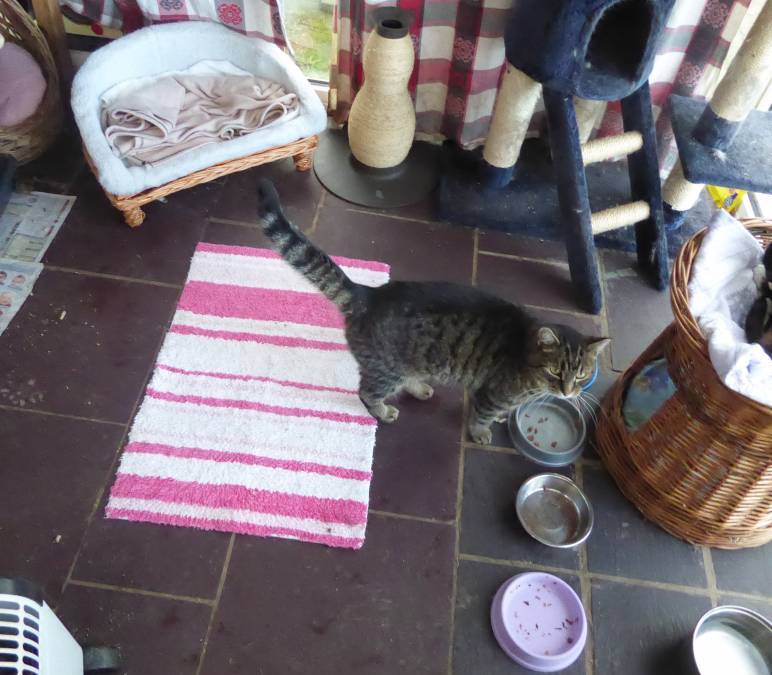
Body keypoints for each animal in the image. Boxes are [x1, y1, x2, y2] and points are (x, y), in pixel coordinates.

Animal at [258, 180, 608, 446]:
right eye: (555, 371)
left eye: (581, 375)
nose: (567, 392)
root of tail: (368, 293)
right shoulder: (490, 394)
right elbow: (481, 416)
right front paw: (482, 432)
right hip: (386, 370)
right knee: (366, 392)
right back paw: (384, 411)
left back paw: (420, 388)